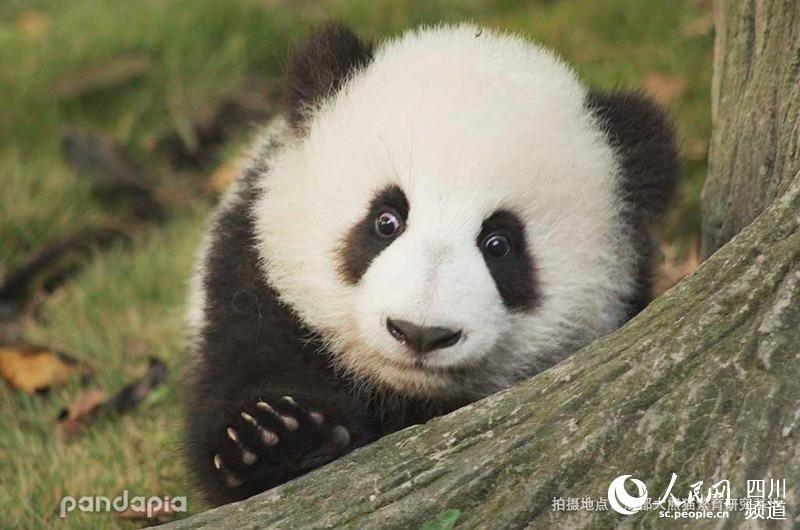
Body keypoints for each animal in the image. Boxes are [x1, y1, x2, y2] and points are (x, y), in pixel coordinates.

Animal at [183, 23, 678, 506]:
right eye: (386, 220)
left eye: (499, 244)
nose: (420, 333)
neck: (403, 392)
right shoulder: (248, 271)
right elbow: (245, 362)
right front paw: (275, 437)